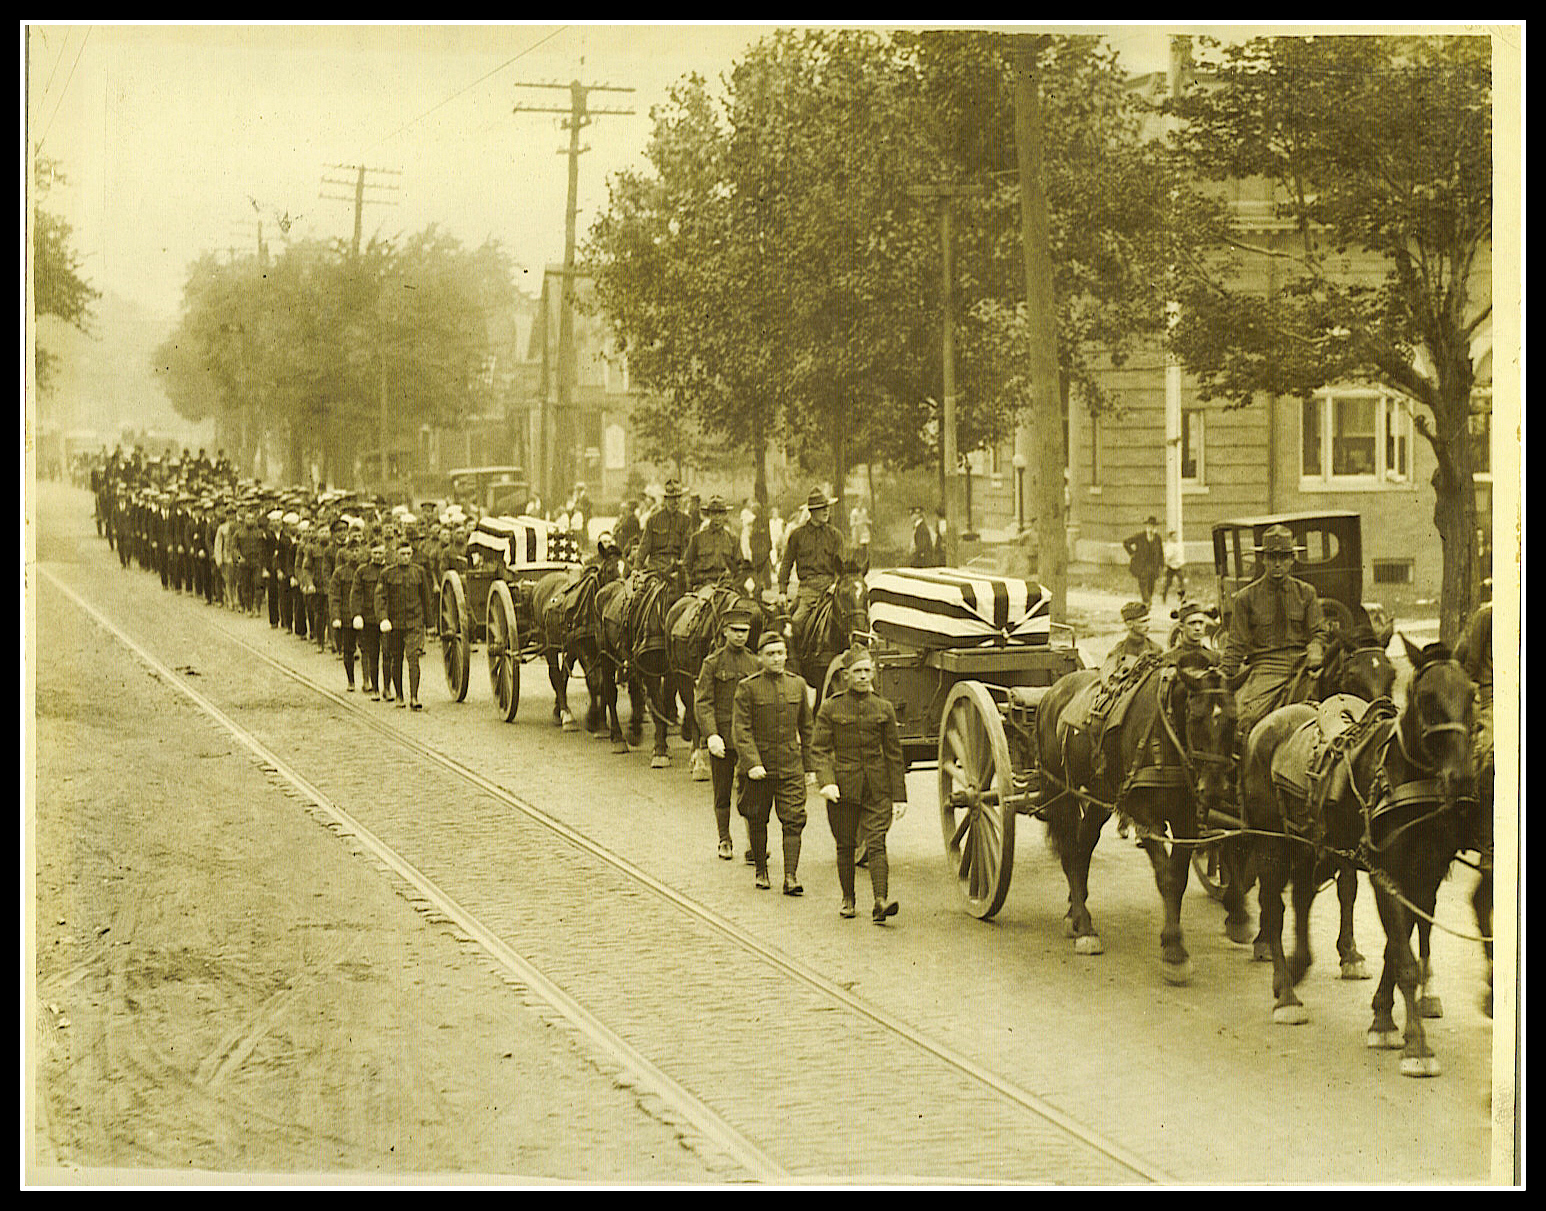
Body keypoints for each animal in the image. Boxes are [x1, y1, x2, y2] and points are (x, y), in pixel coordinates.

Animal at [1032, 652, 1236, 983]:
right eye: (1196, 718)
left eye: (1234, 720)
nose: (1216, 788)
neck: (1166, 733)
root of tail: (1051, 693)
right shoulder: (1146, 818)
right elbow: (1166, 877)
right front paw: (1174, 951)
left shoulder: (1187, 822)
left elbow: (1178, 878)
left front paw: (1174, 945)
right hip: (1062, 789)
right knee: (1069, 851)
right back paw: (1084, 926)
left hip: (1101, 795)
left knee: (1083, 847)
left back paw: (1076, 913)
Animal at [1236, 643, 1477, 1082]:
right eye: (1426, 698)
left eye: (1471, 696)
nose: (1463, 779)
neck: (1401, 776)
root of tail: (1267, 723)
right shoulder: (1387, 876)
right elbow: (1405, 960)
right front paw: (1417, 1046)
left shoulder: (1425, 880)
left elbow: (1396, 950)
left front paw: (1383, 1020)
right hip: (1271, 842)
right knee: (1274, 911)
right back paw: (1286, 994)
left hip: (1308, 844)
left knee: (1301, 898)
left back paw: (1298, 967)